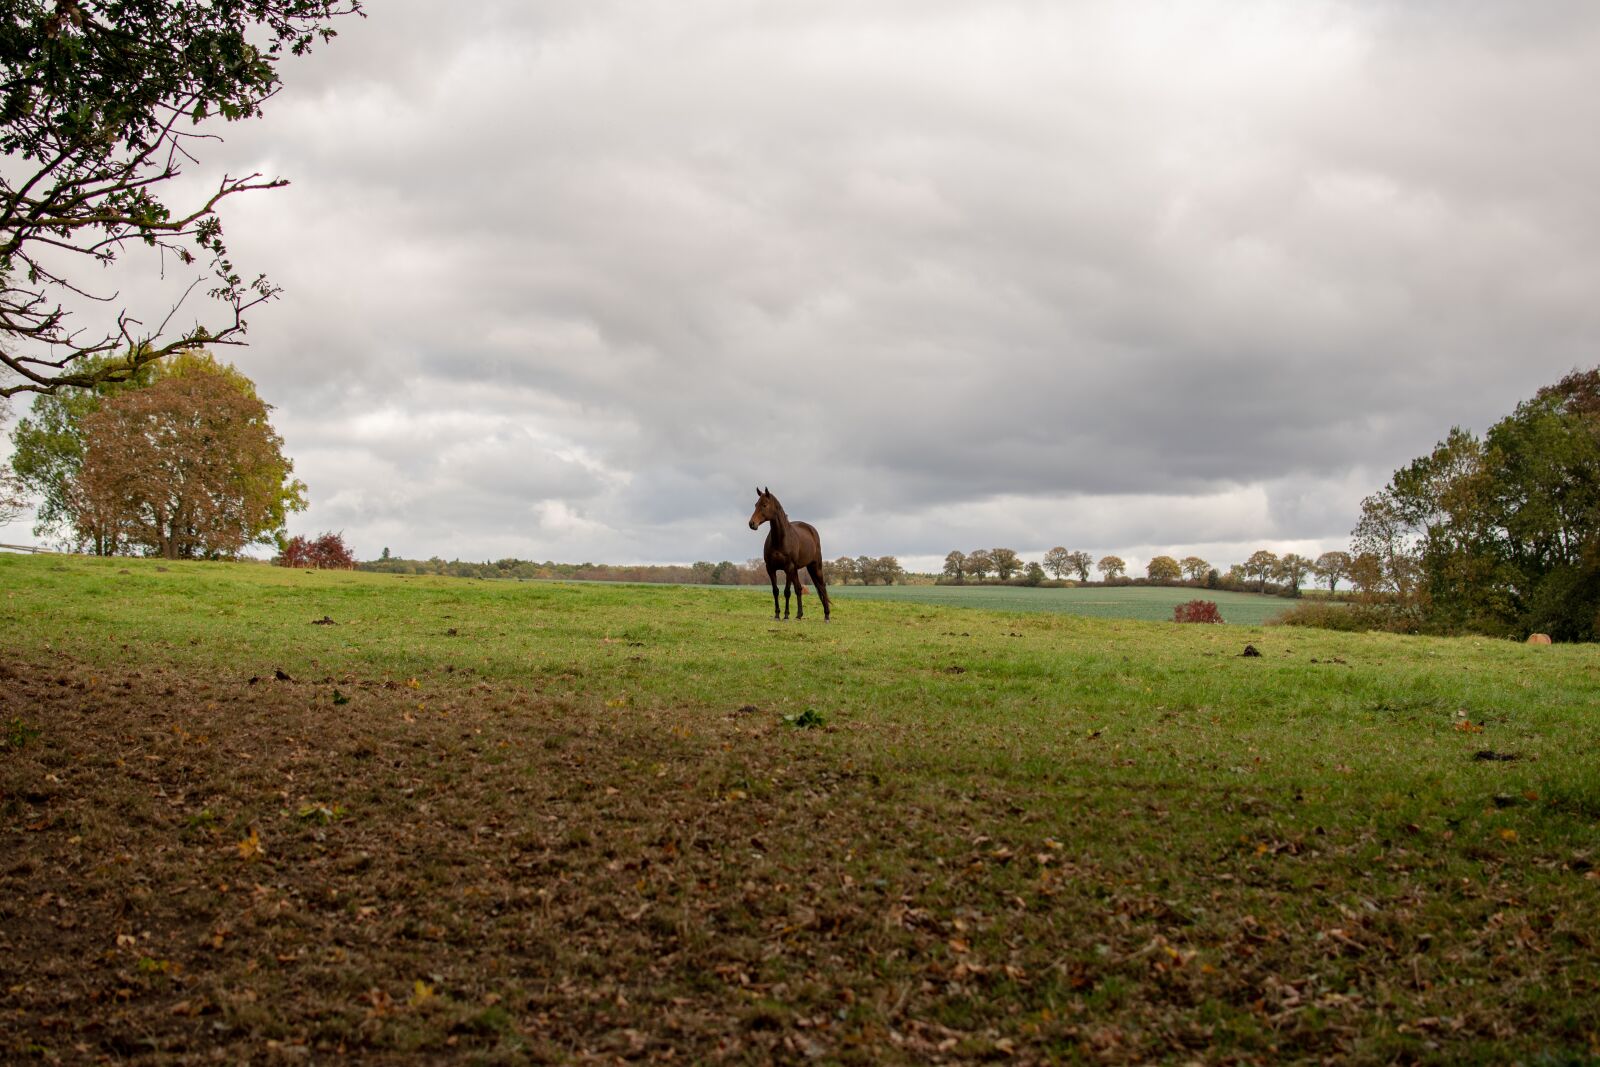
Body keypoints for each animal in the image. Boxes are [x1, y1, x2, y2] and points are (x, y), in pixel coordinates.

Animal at [748, 487, 832, 622]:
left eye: (764, 505)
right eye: (756, 505)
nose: (752, 523)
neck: (780, 540)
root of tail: (812, 530)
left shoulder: (788, 567)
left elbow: (787, 591)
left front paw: (786, 615)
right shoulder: (770, 568)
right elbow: (775, 591)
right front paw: (777, 614)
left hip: (815, 566)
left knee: (822, 587)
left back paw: (827, 615)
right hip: (796, 570)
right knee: (799, 589)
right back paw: (799, 615)